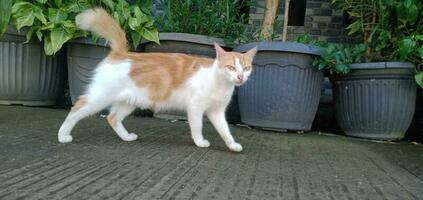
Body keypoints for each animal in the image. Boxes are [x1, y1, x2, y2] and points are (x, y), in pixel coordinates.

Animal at [57, 7, 256, 152]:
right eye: (231, 67)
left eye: (246, 68)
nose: (240, 76)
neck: (220, 83)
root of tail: (122, 53)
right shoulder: (195, 107)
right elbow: (197, 127)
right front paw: (200, 142)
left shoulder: (216, 112)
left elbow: (225, 130)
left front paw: (232, 145)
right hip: (99, 97)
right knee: (76, 109)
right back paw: (63, 135)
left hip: (129, 101)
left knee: (112, 118)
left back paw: (126, 137)